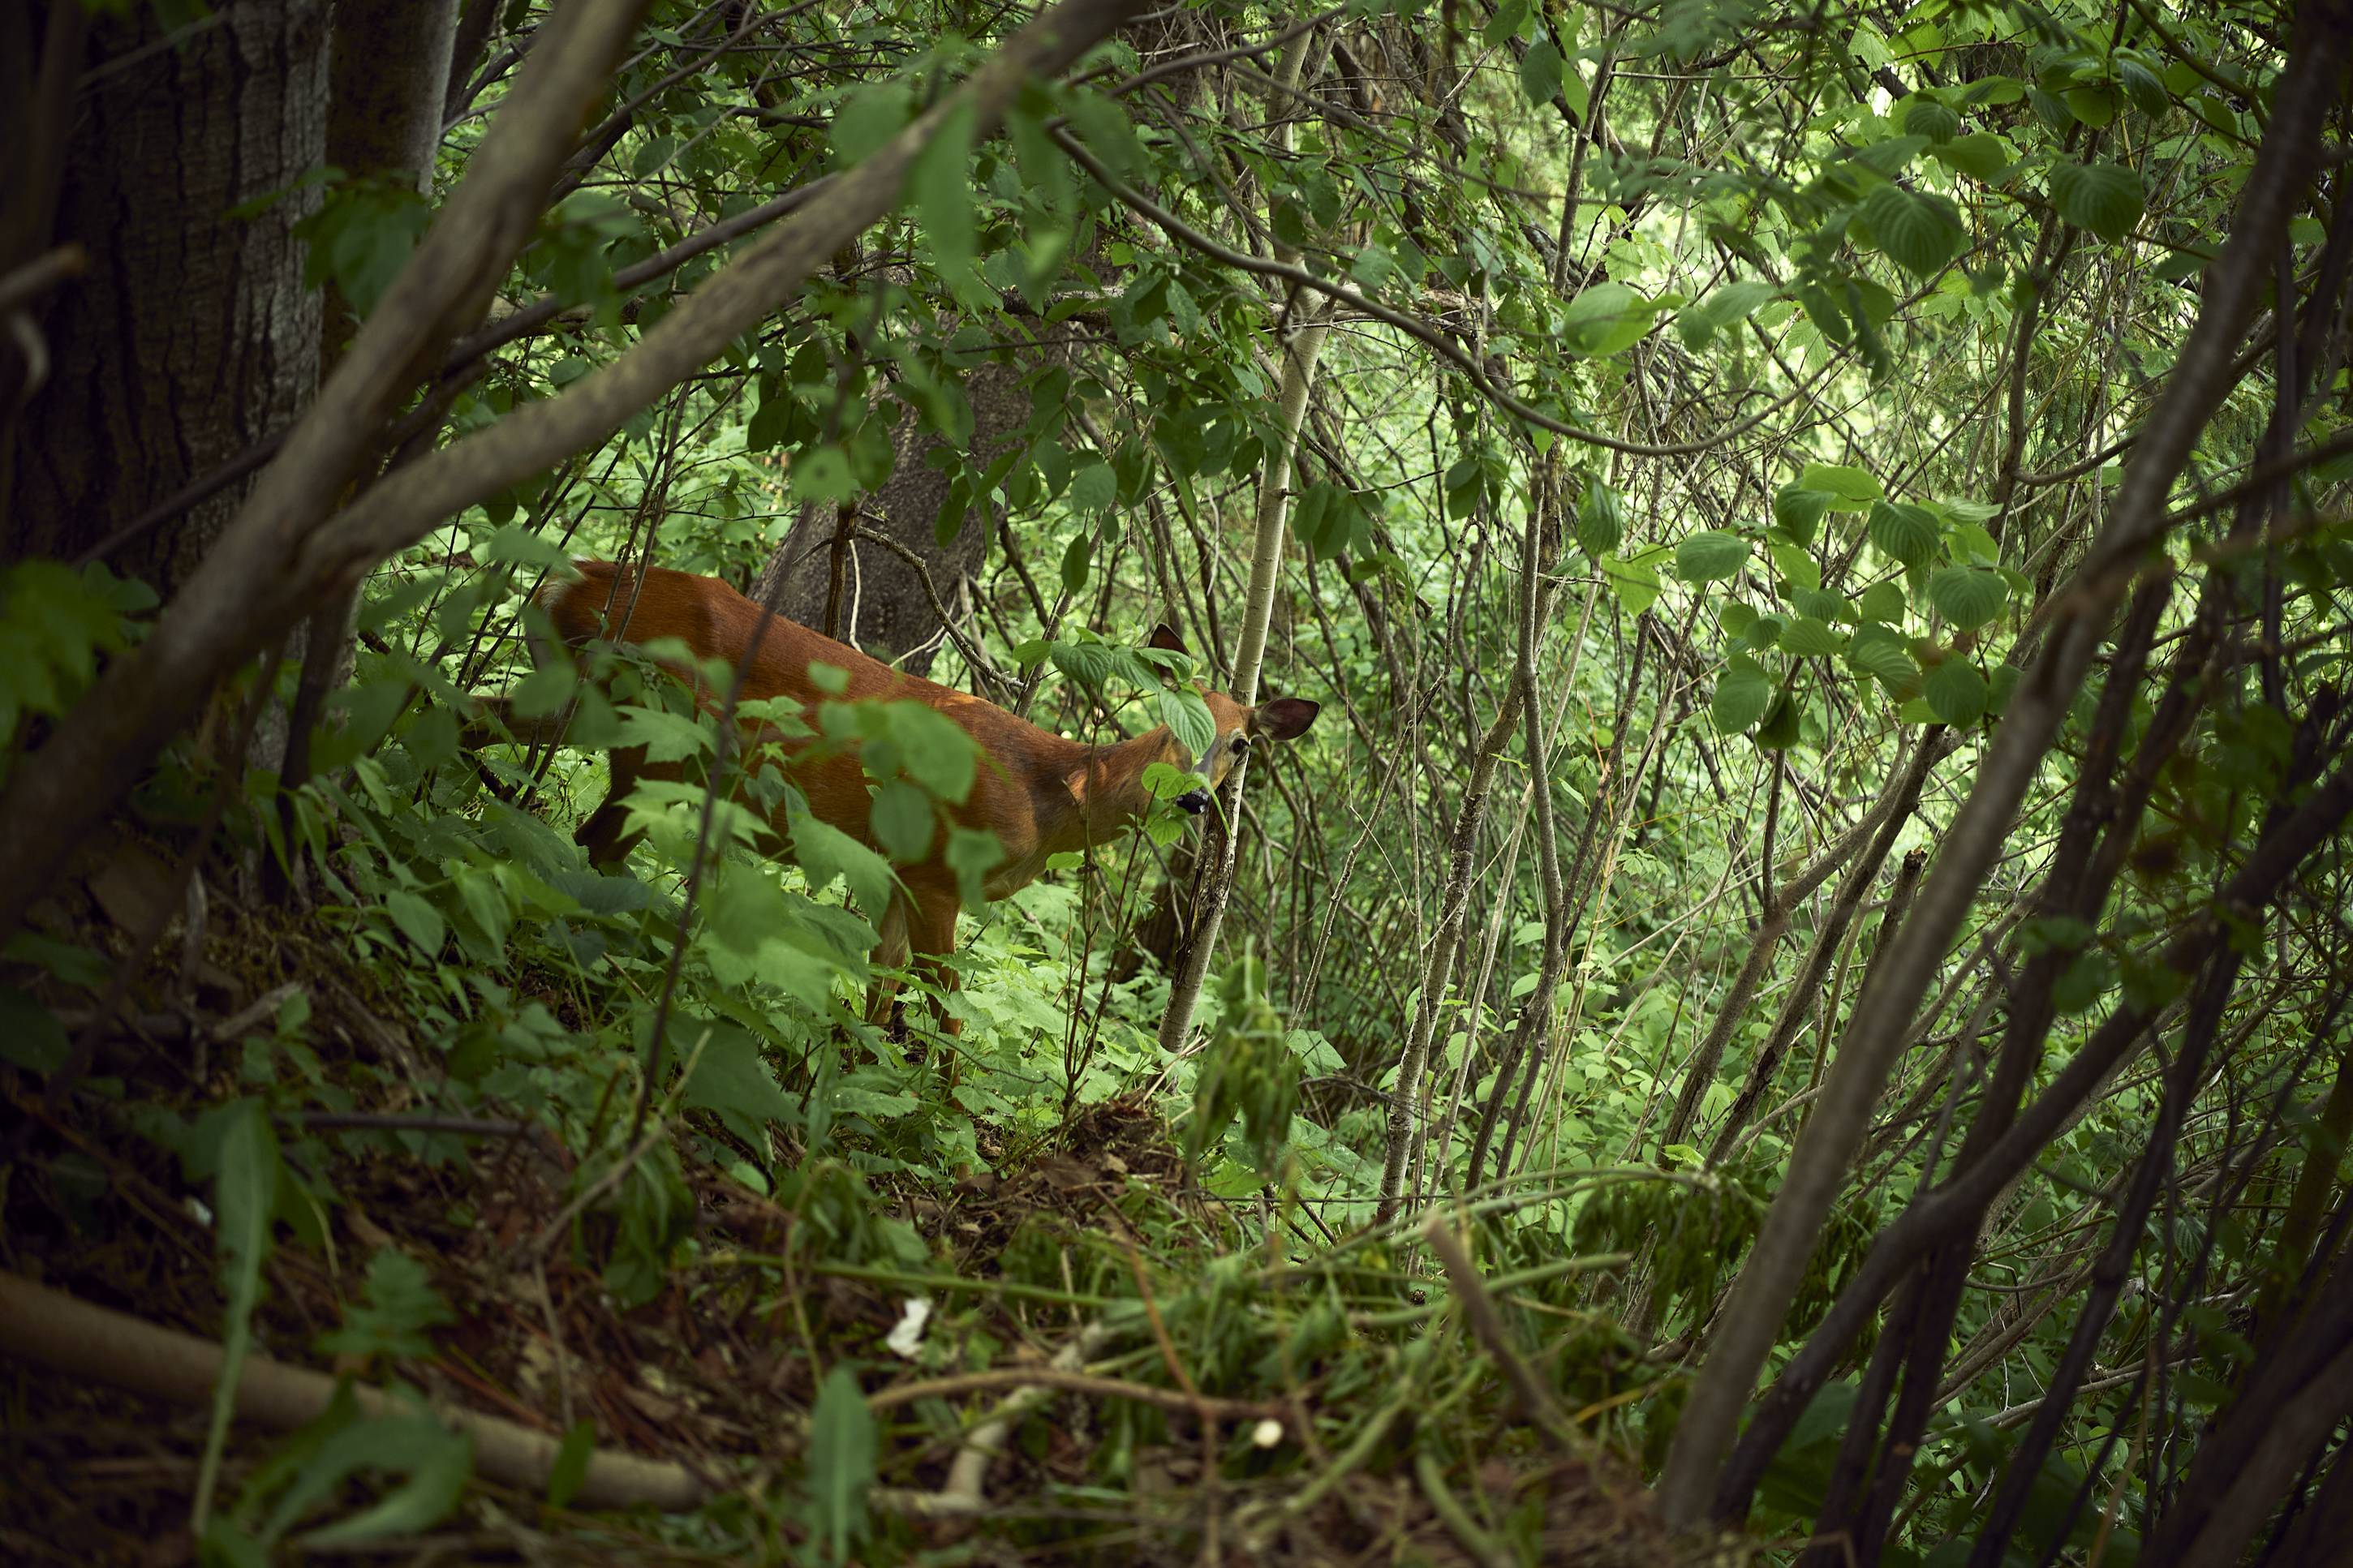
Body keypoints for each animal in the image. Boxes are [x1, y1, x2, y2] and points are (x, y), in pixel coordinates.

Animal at [473, 560, 1318, 1034]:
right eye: (1174, 719)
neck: (1049, 795)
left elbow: (881, 989)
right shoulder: (940, 870)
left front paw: (842, 1079)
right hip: (654, 733)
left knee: (478, 722)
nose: (1195, 800)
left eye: (1241, 743)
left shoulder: (898, 873)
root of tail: (574, 575)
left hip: (587, 707)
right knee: (592, 838)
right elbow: (943, 1005)